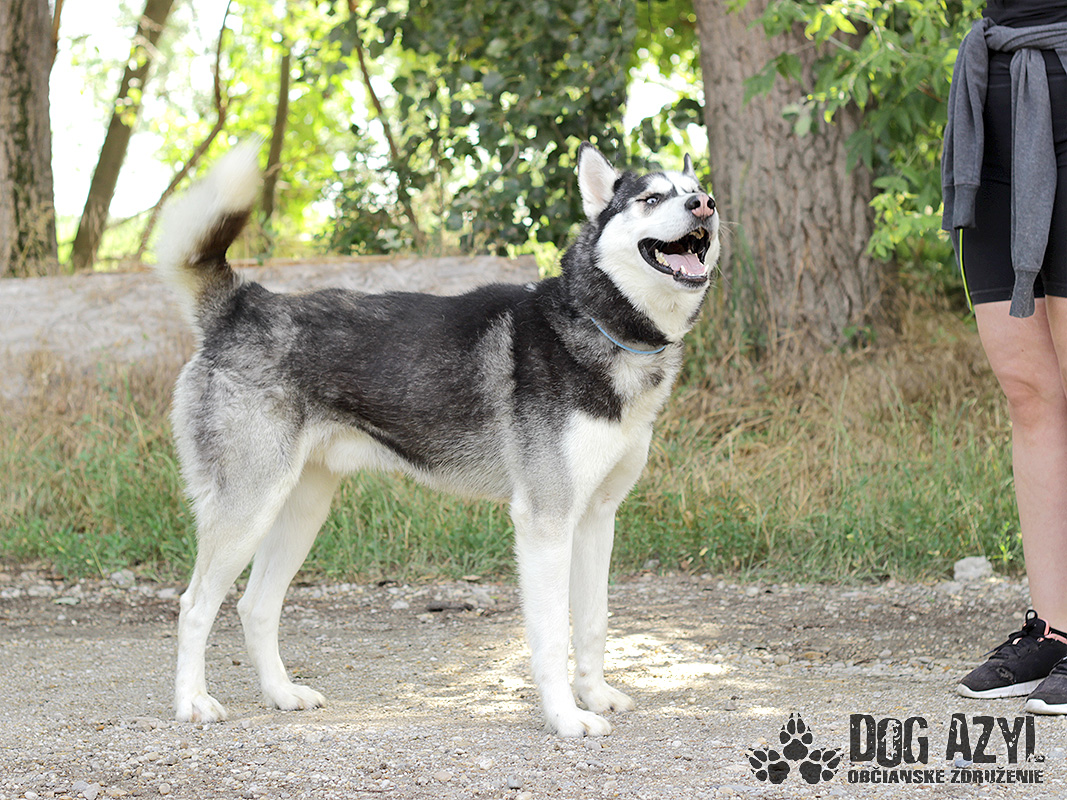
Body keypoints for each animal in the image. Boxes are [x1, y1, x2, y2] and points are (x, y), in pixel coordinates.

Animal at [154, 141, 719, 737]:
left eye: (696, 190)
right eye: (651, 198)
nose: (704, 206)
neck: (597, 323)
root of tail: (245, 305)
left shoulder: (595, 520)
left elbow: (591, 623)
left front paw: (596, 696)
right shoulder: (545, 522)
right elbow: (550, 635)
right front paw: (566, 717)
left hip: (299, 512)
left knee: (255, 606)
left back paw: (282, 693)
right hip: (248, 508)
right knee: (195, 606)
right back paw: (193, 702)